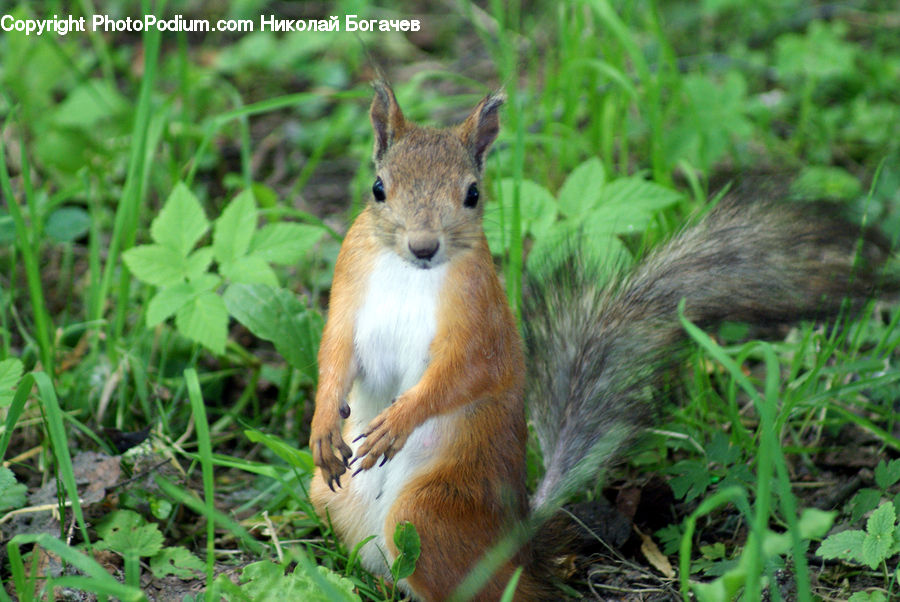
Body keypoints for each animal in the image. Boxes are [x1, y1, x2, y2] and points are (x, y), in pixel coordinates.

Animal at [308, 81, 890, 601]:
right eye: (378, 188)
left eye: (472, 194)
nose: (424, 246)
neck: (409, 272)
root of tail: (520, 548)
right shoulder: (349, 290)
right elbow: (334, 356)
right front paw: (322, 424)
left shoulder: (480, 322)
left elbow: (464, 374)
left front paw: (397, 422)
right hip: (329, 498)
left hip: (430, 512)